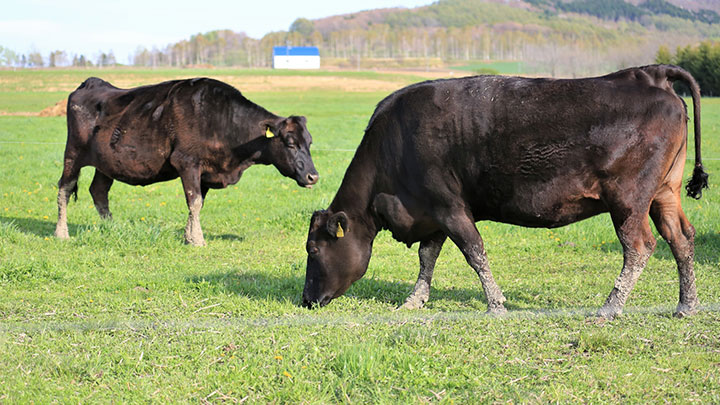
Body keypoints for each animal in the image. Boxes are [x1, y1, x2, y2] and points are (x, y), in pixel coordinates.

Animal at [57, 77, 322, 245]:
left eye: (309, 142)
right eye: (290, 143)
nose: (313, 176)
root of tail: (92, 83)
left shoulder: (206, 172)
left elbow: (198, 204)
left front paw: (188, 236)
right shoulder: (187, 163)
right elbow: (193, 202)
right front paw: (198, 240)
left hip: (106, 163)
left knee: (99, 191)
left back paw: (112, 226)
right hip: (73, 154)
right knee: (65, 189)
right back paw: (62, 233)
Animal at [302, 64, 708, 318]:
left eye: (314, 249)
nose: (306, 300)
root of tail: (650, 74)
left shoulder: (449, 206)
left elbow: (474, 252)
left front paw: (495, 304)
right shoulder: (432, 211)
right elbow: (427, 256)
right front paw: (414, 301)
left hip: (628, 200)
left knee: (640, 247)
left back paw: (610, 306)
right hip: (664, 194)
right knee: (681, 238)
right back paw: (686, 305)